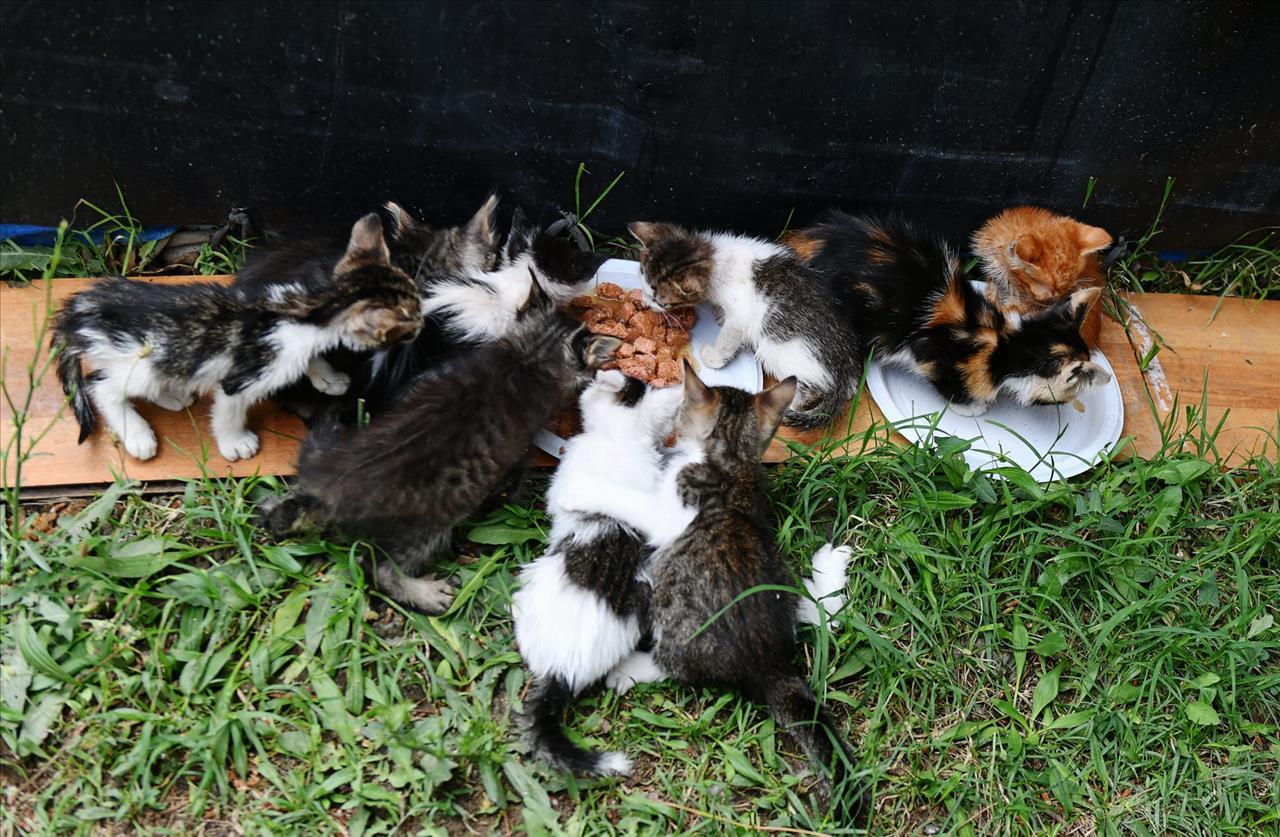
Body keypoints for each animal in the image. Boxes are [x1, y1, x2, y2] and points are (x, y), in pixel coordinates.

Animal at [52, 214, 422, 461]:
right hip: (143, 361)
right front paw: (236, 442)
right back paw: (138, 434)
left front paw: (328, 378)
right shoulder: (241, 378)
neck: (307, 311)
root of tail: (79, 311)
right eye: (413, 319)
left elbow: (312, 358)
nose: (423, 325)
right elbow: (229, 410)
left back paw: (173, 396)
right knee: (103, 386)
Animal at [257, 273, 620, 614]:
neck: (528, 356)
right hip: (427, 524)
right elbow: (515, 476)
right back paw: (423, 593)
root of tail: (329, 483)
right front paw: (514, 495)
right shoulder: (518, 447)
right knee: (377, 566)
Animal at [556, 364, 869, 824]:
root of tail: (772, 664)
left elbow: (635, 500)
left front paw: (583, 490)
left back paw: (628, 670)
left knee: (675, 667)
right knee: (819, 612)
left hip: (675, 620)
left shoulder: (669, 511)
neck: (730, 458)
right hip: (781, 580)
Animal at [627, 222, 861, 429]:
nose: (646, 302)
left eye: (660, 301)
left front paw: (714, 358)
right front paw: (719, 313)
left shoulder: (741, 316)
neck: (716, 258)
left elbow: (728, 337)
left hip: (782, 351)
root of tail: (843, 371)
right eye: (642, 280)